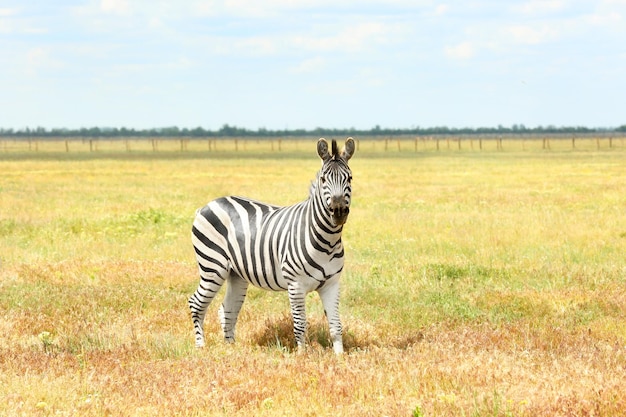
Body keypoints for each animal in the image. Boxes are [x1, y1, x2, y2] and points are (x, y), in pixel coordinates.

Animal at [188, 138, 354, 352]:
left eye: (349, 178)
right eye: (324, 180)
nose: (339, 211)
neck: (327, 241)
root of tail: (207, 205)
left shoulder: (331, 283)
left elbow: (335, 325)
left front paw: (339, 356)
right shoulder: (295, 284)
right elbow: (300, 324)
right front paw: (302, 354)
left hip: (235, 273)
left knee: (228, 310)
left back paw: (231, 348)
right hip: (212, 267)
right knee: (196, 303)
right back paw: (201, 346)